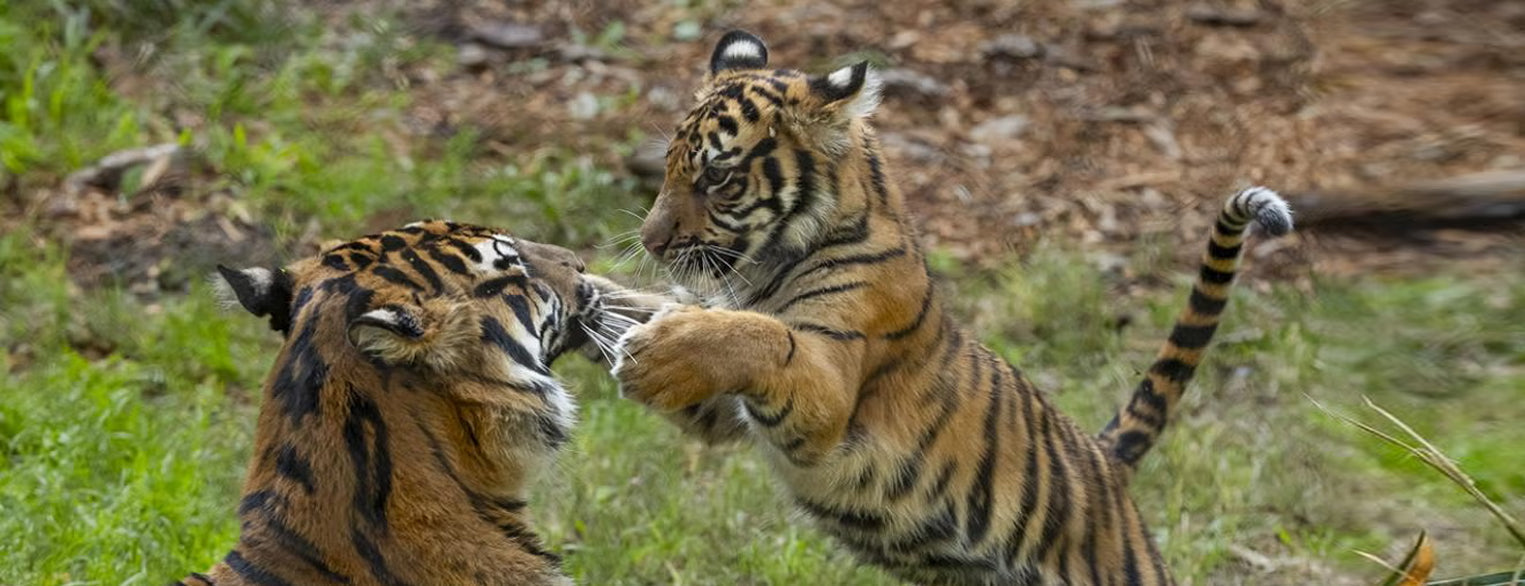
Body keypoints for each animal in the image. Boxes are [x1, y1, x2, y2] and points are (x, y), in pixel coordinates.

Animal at [610, 30, 1295, 585]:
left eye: (717, 178)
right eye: (669, 166)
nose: (650, 240)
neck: (761, 269)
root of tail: (1106, 461)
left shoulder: (827, 391)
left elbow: (761, 336)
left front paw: (656, 352)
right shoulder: (728, 410)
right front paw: (598, 301)